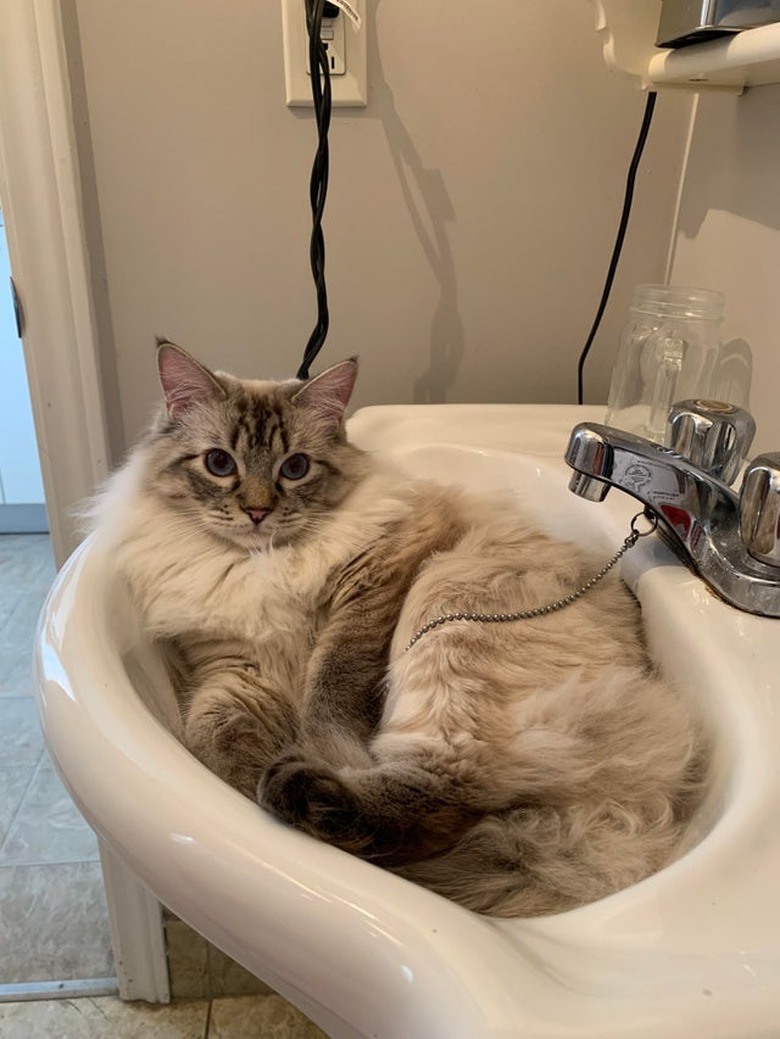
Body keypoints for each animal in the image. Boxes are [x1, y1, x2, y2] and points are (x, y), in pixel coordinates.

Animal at [92, 342, 706, 918]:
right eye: (220, 464)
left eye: (295, 468)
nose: (258, 513)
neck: (260, 563)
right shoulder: (235, 665)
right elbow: (216, 738)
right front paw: (251, 777)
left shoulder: (375, 582)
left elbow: (328, 691)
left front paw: (314, 750)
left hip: (449, 609)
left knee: (443, 797)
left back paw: (300, 789)